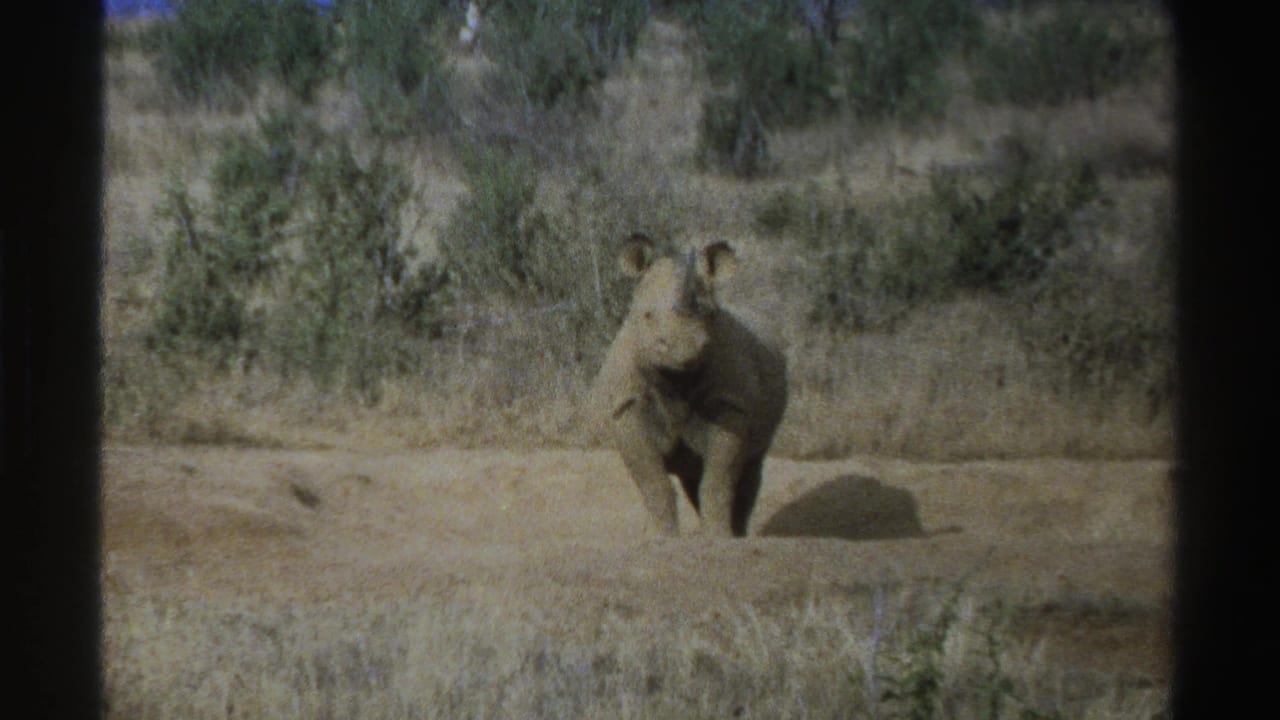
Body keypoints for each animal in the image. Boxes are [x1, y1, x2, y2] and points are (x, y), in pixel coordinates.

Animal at [593, 234, 788, 537]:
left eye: (709, 314)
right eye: (647, 315)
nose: (684, 347)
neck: (676, 377)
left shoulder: (731, 403)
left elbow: (718, 480)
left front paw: (719, 537)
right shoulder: (627, 405)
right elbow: (653, 482)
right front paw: (664, 538)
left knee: (749, 467)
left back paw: (738, 534)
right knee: (692, 476)